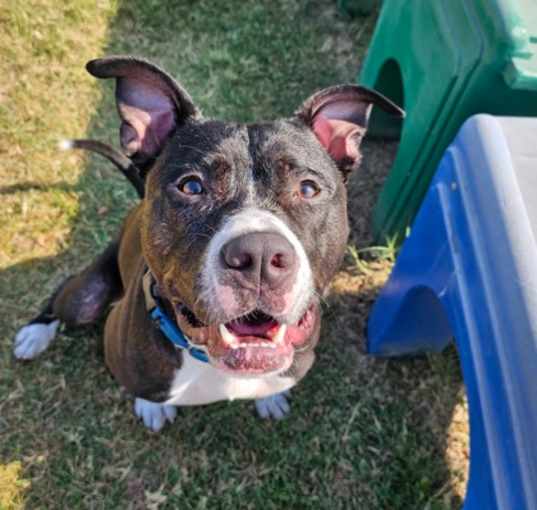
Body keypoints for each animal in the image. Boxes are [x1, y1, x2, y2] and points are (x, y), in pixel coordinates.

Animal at [12, 55, 402, 430]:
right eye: (191, 186)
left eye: (308, 189)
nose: (259, 255)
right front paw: (151, 405)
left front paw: (270, 398)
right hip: (87, 299)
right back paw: (34, 334)